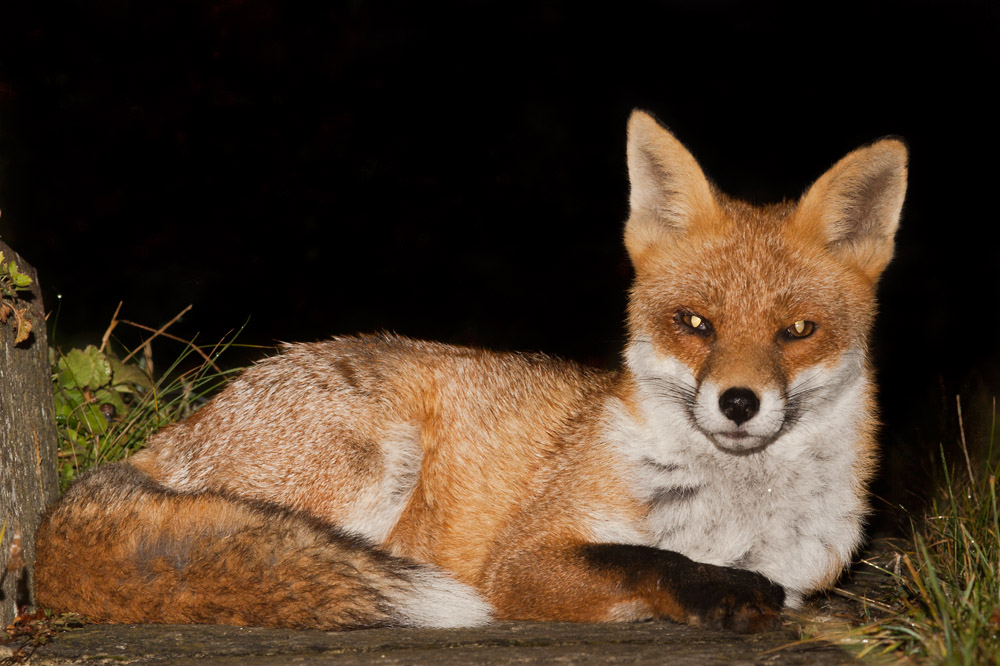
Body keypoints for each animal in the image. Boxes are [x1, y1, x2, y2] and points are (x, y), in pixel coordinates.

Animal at [34, 110, 907, 634]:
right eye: (695, 324)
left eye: (798, 332)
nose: (738, 403)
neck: (729, 513)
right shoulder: (523, 560)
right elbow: (648, 558)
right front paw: (711, 591)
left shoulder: (804, 569)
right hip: (370, 464)